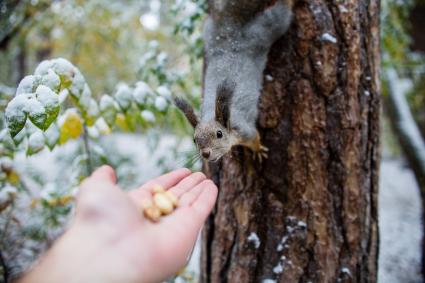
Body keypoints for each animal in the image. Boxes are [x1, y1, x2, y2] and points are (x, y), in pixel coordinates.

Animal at [175, 0, 292, 162]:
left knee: (278, 18)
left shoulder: (245, 131)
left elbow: (255, 138)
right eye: (194, 139)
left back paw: (289, 3)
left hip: (263, 33)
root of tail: (230, 32)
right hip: (208, 34)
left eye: (219, 134)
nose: (205, 153)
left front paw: (257, 150)